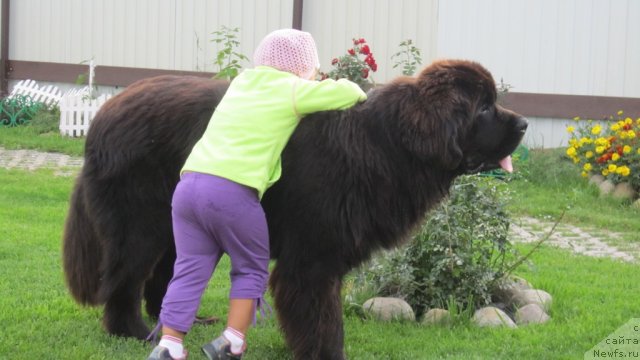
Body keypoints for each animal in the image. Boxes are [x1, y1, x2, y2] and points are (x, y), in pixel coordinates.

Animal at [62, 59, 528, 360]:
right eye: (484, 107)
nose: (523, 123)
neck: (388, 144)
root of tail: (105, 113)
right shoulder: (314, 256)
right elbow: (322, 316)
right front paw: (325, 353)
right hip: (140, 224)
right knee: (124, 277)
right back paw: (132, 332)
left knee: (167, 275)